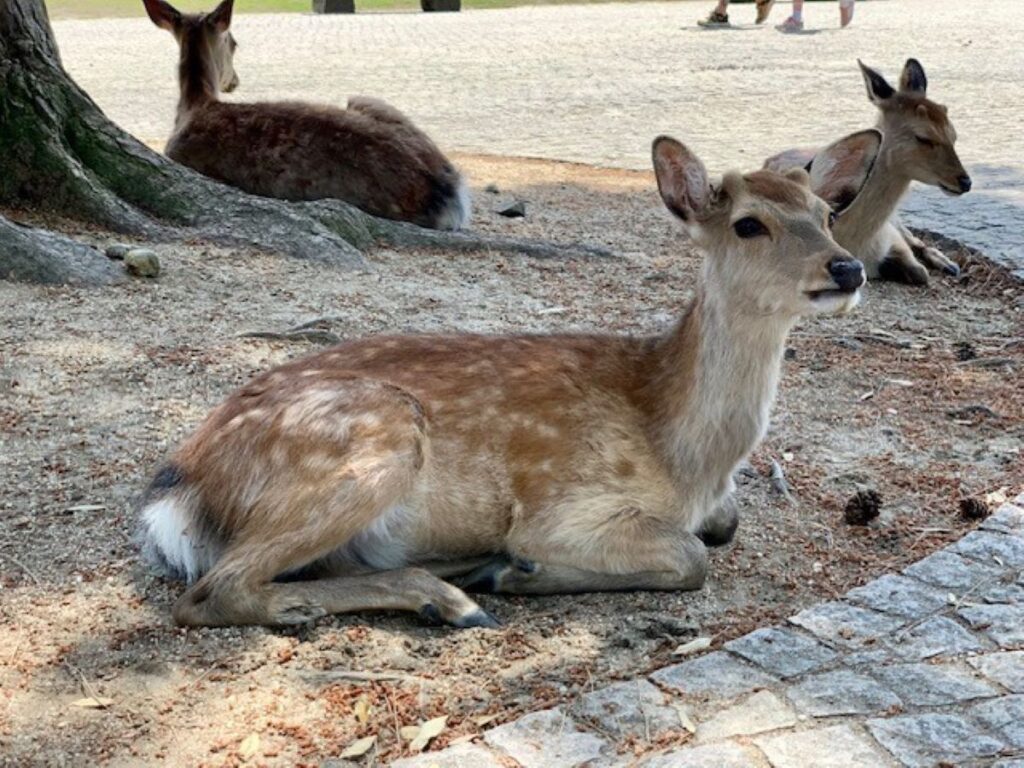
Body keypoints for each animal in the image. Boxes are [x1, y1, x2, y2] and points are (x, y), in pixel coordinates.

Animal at [137, 131, 878, 628]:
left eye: (828, 215)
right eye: (749, 224)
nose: (847, 269)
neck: (685, 453)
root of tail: (179, 487)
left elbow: (722, 527)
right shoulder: (567, 506)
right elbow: (692, 555)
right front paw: (522, 570)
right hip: (373, 438)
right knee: (211, 591)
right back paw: (453, 597)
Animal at [765, 59, 971, 285]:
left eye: (953, 134)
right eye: (923, 137)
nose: (965, 182)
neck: (858, 242)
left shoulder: (891, 236)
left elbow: (920, 272)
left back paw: (949, 264)